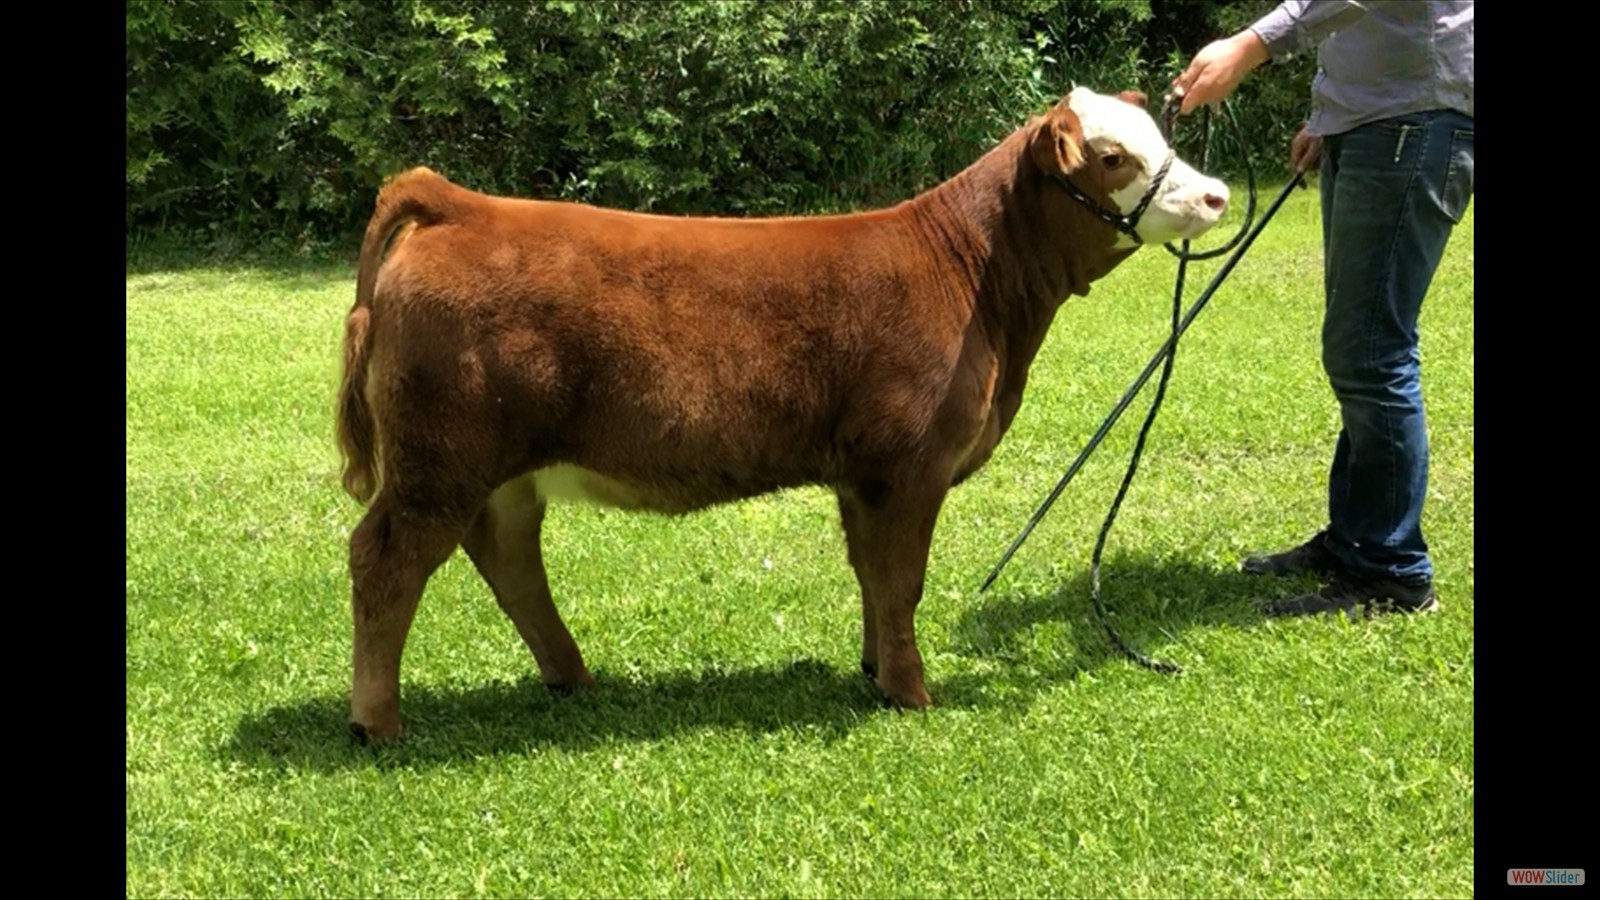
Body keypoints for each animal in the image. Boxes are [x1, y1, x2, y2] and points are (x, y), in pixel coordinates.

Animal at [337, 86, 1230, 742]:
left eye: (1161, 133)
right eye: (1112, 157)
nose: (1218, 194)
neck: (977, 280)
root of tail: (461, 203)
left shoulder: (863, 473)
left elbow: (872, 574)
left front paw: (875, 672)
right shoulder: (909, 461)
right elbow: (901, 578)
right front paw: (912, 694)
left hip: (498, 471)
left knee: (508, 559)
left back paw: (571, 677)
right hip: (440, 461)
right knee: (386, 562)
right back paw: (379, 725)